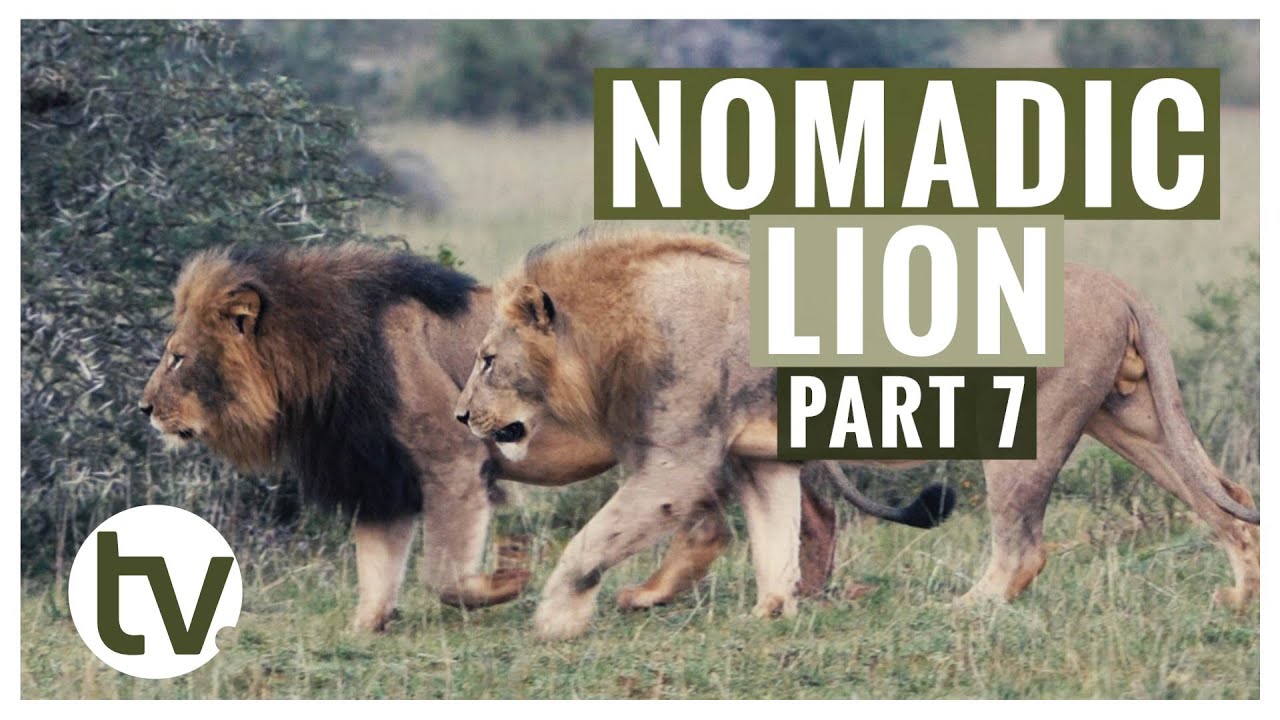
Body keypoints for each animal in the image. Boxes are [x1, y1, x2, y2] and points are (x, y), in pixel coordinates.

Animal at [138, 243, 948, 632]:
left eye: (176, 357)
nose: (144, 408)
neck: (315, 359)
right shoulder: (381, 472)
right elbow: (378, 567)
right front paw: (367, 627)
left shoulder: (448, 458)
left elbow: (443, 573)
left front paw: (505, 583)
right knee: (770, 514)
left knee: (779, 515)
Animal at [454, 232, 1260, 640]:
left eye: (488, 361)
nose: (462, 417)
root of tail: (1119, 285)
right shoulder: (761, 458)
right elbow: (775, 540)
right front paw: (769, 613)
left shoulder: (677, 462)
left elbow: (594, 540)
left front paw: (558, 618)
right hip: (1131, 420)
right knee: (1226, 501)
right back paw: (1241, 597)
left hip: (1034, 426)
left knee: (1024, 547)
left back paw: (967, 609)